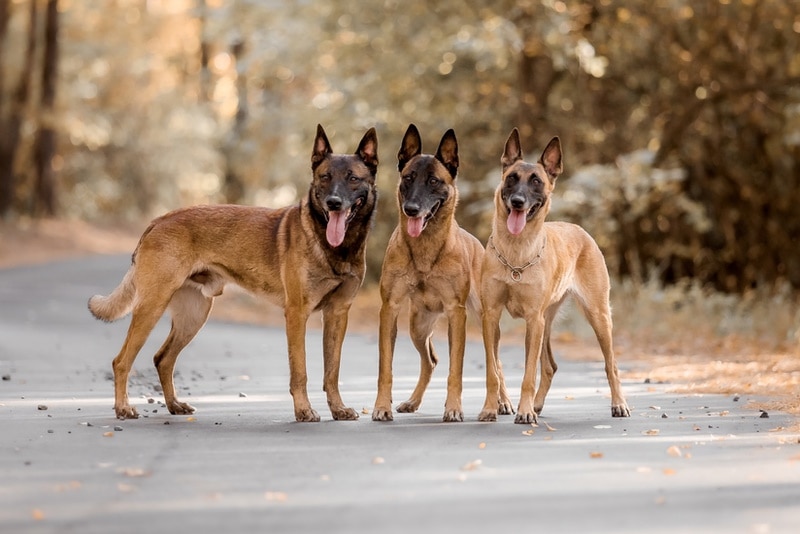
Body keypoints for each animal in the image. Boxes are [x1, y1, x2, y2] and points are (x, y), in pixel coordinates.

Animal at [88, 124, 378, 422]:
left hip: (193, 316)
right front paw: (304, 410)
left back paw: (174, 405)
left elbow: (332, 371)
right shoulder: (297, 314)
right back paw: (123, 407)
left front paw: (338, 408)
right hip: (152, 307)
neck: (335, 247)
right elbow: (300, 371)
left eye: (353, 178)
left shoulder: (337, 314)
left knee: (163, 358)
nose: (334, 203)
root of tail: (158, 221)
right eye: (325, 177)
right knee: (122, 361)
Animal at [374, 125, 512, 422]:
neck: (425, 248)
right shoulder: (390, 308)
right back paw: (412, 401)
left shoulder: (456, 313)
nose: (411, 209)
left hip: (486, 322)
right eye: (408, 178)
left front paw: (453, 408)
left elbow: (456, 370)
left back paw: (504, 402)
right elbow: (385, 367)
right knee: (430, 362)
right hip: (417, 326)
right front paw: (381, 406)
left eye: (434, 181)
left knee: (496, 362)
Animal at [476, 127, 632, 426]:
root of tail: (580, 229)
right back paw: (537, 405)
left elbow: (527, 374)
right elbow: (493, 370)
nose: (518, 202)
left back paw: (619, 404)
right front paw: (491, 408)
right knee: (549, 366)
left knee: (611, 365)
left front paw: (524, 411)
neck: (517, 252)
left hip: (596, 317)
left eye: (536, 181)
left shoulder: (532, 320)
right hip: (546, 323)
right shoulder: (491, 317)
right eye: (511, 178)